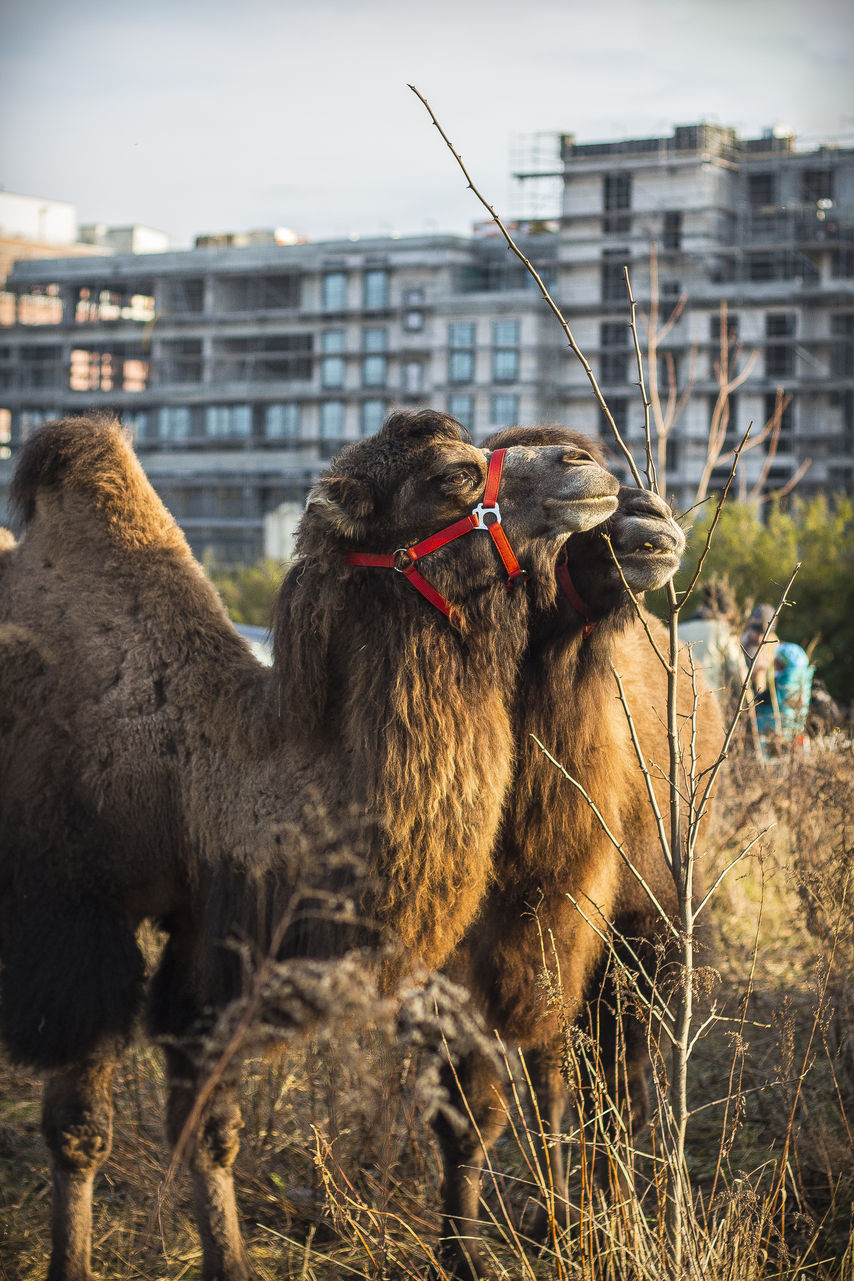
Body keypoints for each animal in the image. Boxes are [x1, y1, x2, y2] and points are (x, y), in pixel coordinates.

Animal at [0, 409, 622, 1281]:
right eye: (454, 476)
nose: (586, 465)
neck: (189, 758)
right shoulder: (74, 920)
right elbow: (79, 1128)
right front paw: (72, 1261)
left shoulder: (213, 935)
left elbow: (211, 1126)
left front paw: (230, 1260)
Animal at [435, 427, 722, 1270]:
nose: (646, 522)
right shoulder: (467, 951)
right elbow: (470, 1109)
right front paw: (462, 1250)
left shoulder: (625, 930)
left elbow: (617, 1089)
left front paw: (609, 1226)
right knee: (554, 1075)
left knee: (597, 1079)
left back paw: (582, 1208)